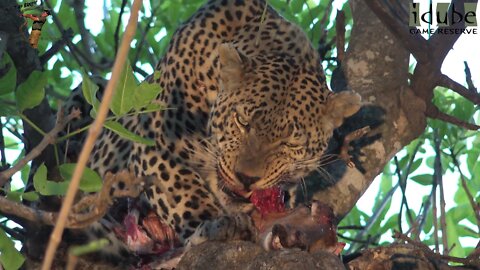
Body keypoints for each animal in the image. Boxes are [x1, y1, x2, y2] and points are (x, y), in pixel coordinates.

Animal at [70, 0, 360, 255]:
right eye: (242, 122)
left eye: (290, 143)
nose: (246, 178)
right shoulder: (155, 145)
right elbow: (183, 191)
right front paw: (213, 223)